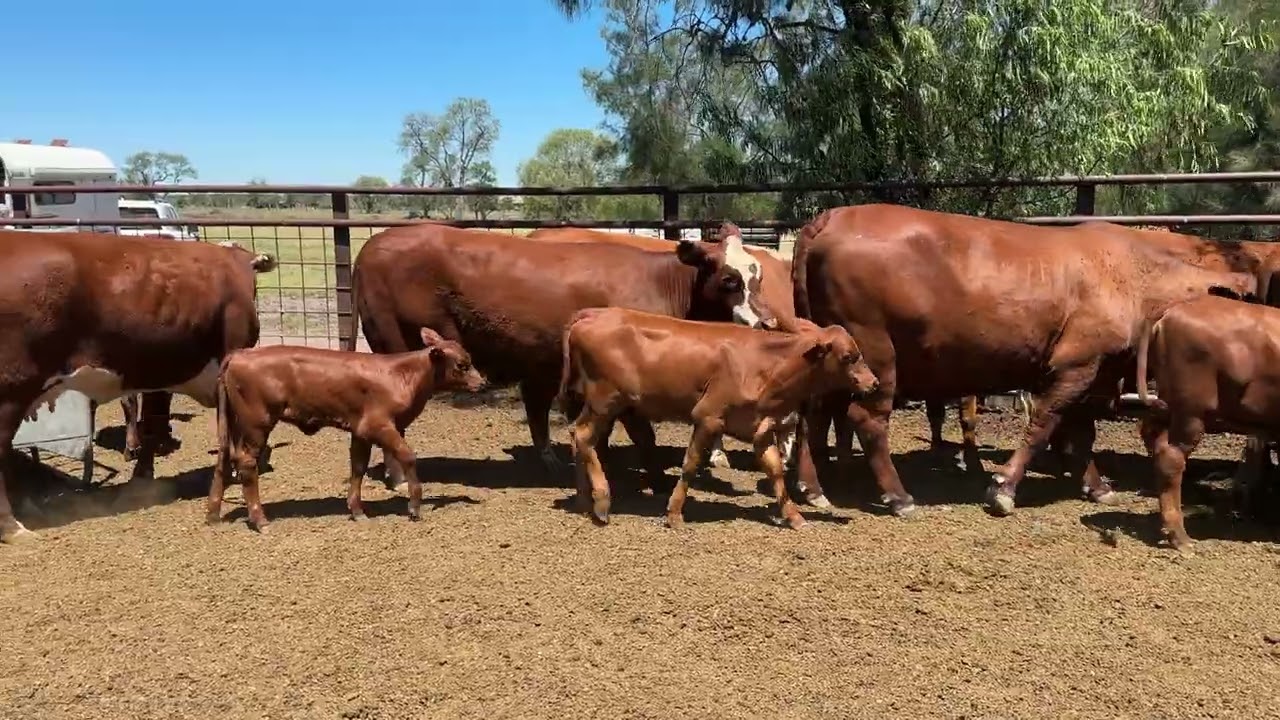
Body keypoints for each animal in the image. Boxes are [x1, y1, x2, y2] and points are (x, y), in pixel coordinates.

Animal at [206, 328, 487, 533]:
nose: (483, 383)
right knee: (246, 462)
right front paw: (414, 507)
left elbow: (358, 467)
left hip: (233, 423)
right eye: (462, 364)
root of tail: (240, 354)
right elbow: (407, 456)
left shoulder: (360, 431)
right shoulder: (379, 425)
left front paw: (357, 511)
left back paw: (213, 515)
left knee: (223, 459)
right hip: (257, 422)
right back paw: (260, 520)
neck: (402, 375)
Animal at [558, 307, 878, 530]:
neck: (764, 364)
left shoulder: (760, 428)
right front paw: (674, 514)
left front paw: (794, 516)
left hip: (603, 405)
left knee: (577, 437)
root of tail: (594, 313)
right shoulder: (708, 417)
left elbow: (775, 471)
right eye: (849, 356)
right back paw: (601, 502)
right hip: (604, 401)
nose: (873, 383)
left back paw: (583, 499)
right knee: (584, 437)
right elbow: (690, 464)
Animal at [786, 204, 1258, 518]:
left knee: (814, 415)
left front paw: (1096, 486)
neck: (1135, 276)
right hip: (875, 351)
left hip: (833, 357)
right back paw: (899, 497)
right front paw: (1004, 489)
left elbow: (1079, 433)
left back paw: (814, 487)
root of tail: (829, 218)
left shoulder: (1095, 370)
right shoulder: (1076, 363)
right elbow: (1045, 424)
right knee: (867, 420)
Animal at [1133, 293, 1280, 551]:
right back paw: (1181, 538)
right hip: (1191, 410)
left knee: (1153, 437)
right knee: (1171, 459)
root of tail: (1171, 310)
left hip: (1167, 404)